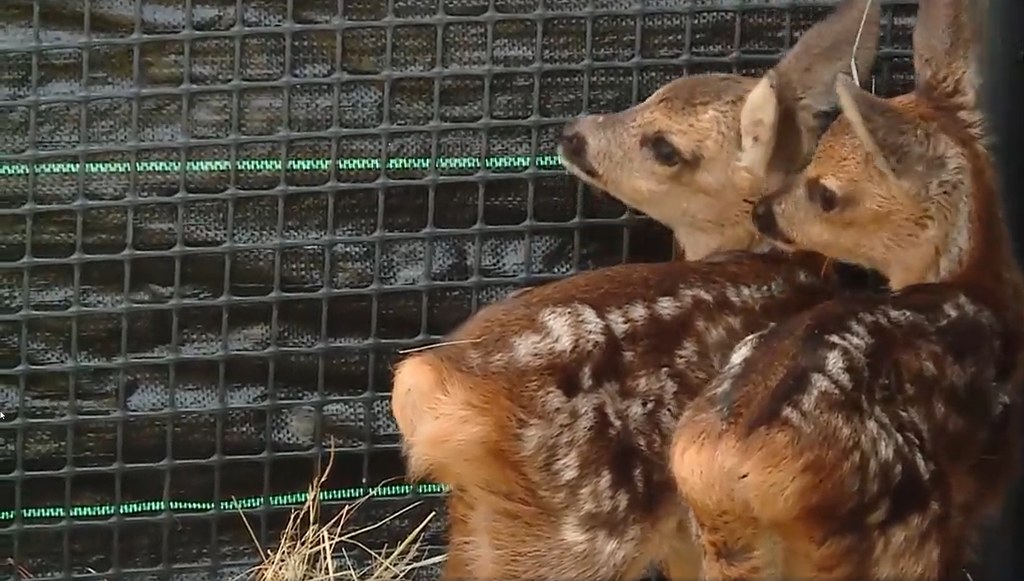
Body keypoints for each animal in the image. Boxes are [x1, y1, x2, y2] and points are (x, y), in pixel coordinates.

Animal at [667, 1, 1024, 581]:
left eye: (826, 192)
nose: (763, 211)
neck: (982, 288)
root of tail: (730, 466)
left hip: (723, 548)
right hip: (888, 538)